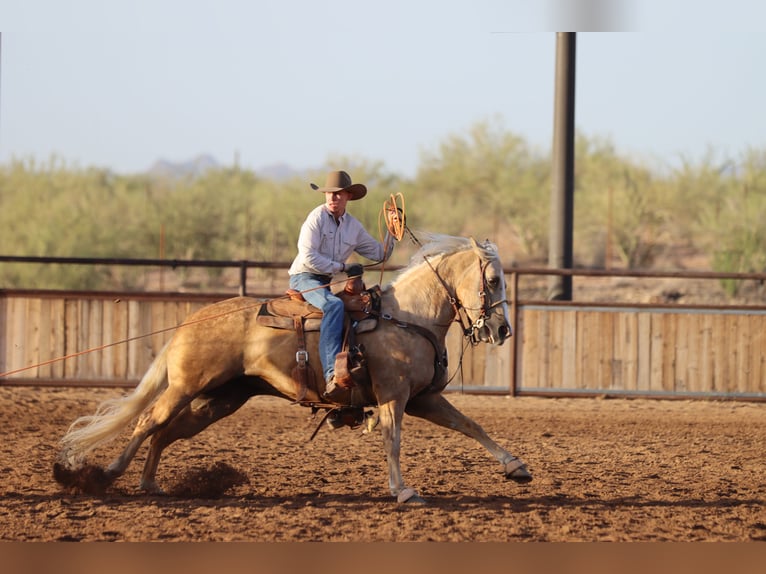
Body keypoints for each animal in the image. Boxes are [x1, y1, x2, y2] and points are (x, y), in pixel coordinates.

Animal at [54, 234, 532, 503]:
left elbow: (470, 426)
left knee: (167, 431)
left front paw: (516, 467)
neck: (407, 316)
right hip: (186, 387)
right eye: (493, 281)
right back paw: (107, 474)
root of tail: (190, 321)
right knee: (149, 421)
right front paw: (403, 491)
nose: (503, 329)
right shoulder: (394, 399)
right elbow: (392, 441)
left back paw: (150, 483)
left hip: (218, 399)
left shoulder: (422, 399)